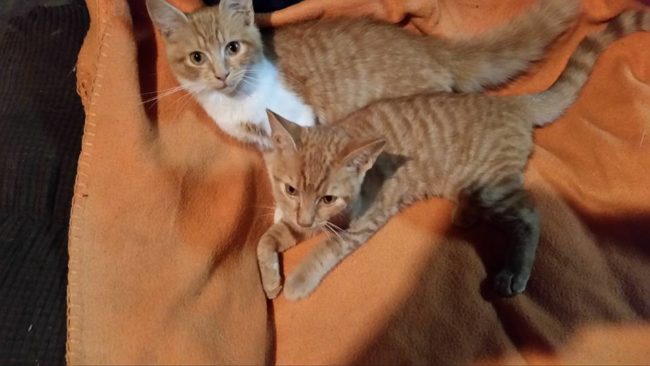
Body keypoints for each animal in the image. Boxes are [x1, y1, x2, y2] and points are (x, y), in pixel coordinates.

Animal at [256, 10, 644, 298]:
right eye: (290, 189)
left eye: (328, 198)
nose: (307, 218)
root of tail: (513, 103)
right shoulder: (300, 219)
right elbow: (267, 239)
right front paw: (271, 278)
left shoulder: (362, 222)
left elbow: (325, 250)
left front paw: (298, 281)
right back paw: (466, 213)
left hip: (496, 187)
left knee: (530, 216)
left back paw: (513, 272)